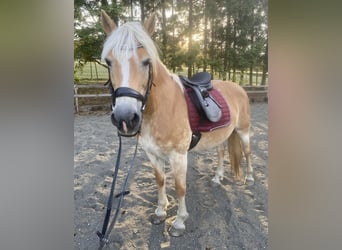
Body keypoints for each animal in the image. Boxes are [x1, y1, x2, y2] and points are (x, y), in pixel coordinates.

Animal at [99, 11, 254, 236]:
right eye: (109, 62)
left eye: (146, 61)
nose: (125, 117)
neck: (162, 108)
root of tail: (238, 87)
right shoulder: (152, 154)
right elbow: (160, 180)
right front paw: (160, 211)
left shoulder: (179, 156)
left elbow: (180, 187)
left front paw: (179, 222)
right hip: (222, 135)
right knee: (221, 153)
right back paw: (217, 178)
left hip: (243, 131)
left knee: (248, 152)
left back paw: (249, 178)